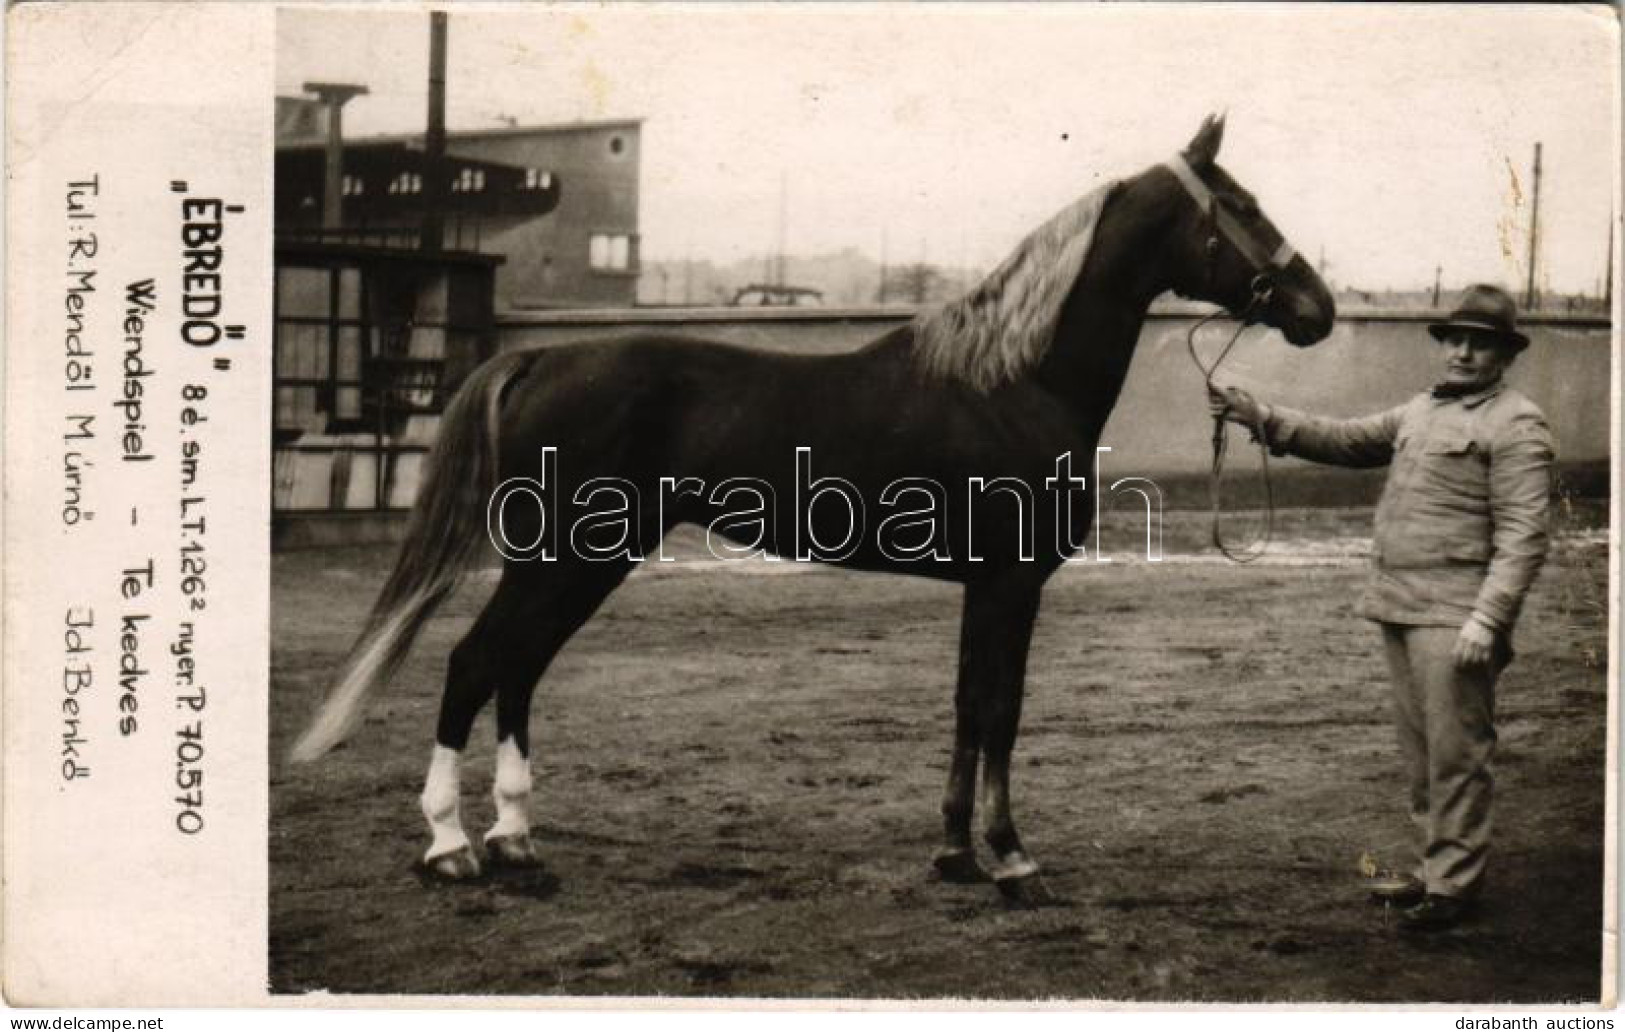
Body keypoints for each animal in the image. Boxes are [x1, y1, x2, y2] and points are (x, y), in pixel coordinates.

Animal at [289, 115, 1332, 903]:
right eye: (1240, 206)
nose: (1315, 308)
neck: (1011, 380)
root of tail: (537, 357)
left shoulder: (983, 588)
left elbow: (966, 704)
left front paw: (953, 853)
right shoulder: (1011, 584)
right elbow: (1000, 709)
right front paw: (1010, 858)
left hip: (585, 563)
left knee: (517, 671)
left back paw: (514, 840)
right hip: (561, 561)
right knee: (476, 663)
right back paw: (449, 849)